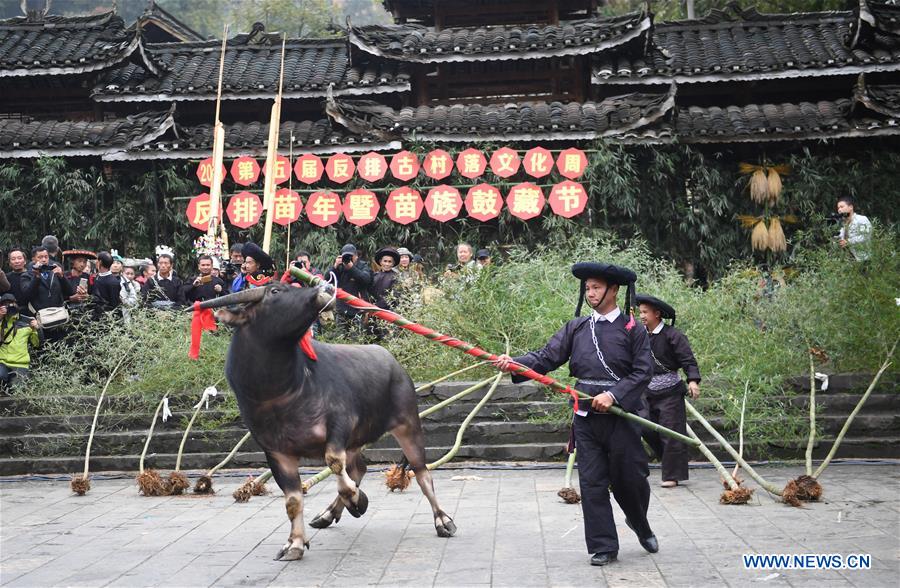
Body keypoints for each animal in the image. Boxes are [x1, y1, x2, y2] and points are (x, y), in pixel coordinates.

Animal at [200, 284, 454, 560]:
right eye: (275, 290)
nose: (325, 287)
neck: (279, 392)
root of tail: (393, 361)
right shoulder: (275, 451)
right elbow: (293, 500)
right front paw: (295, 543)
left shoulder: (339, 425)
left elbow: (334, 463)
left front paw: (357, 499)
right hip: (356, 441)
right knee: (359, 469)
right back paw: (327, 514)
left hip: (408, 424)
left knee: (422, 474)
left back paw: (443, 521)